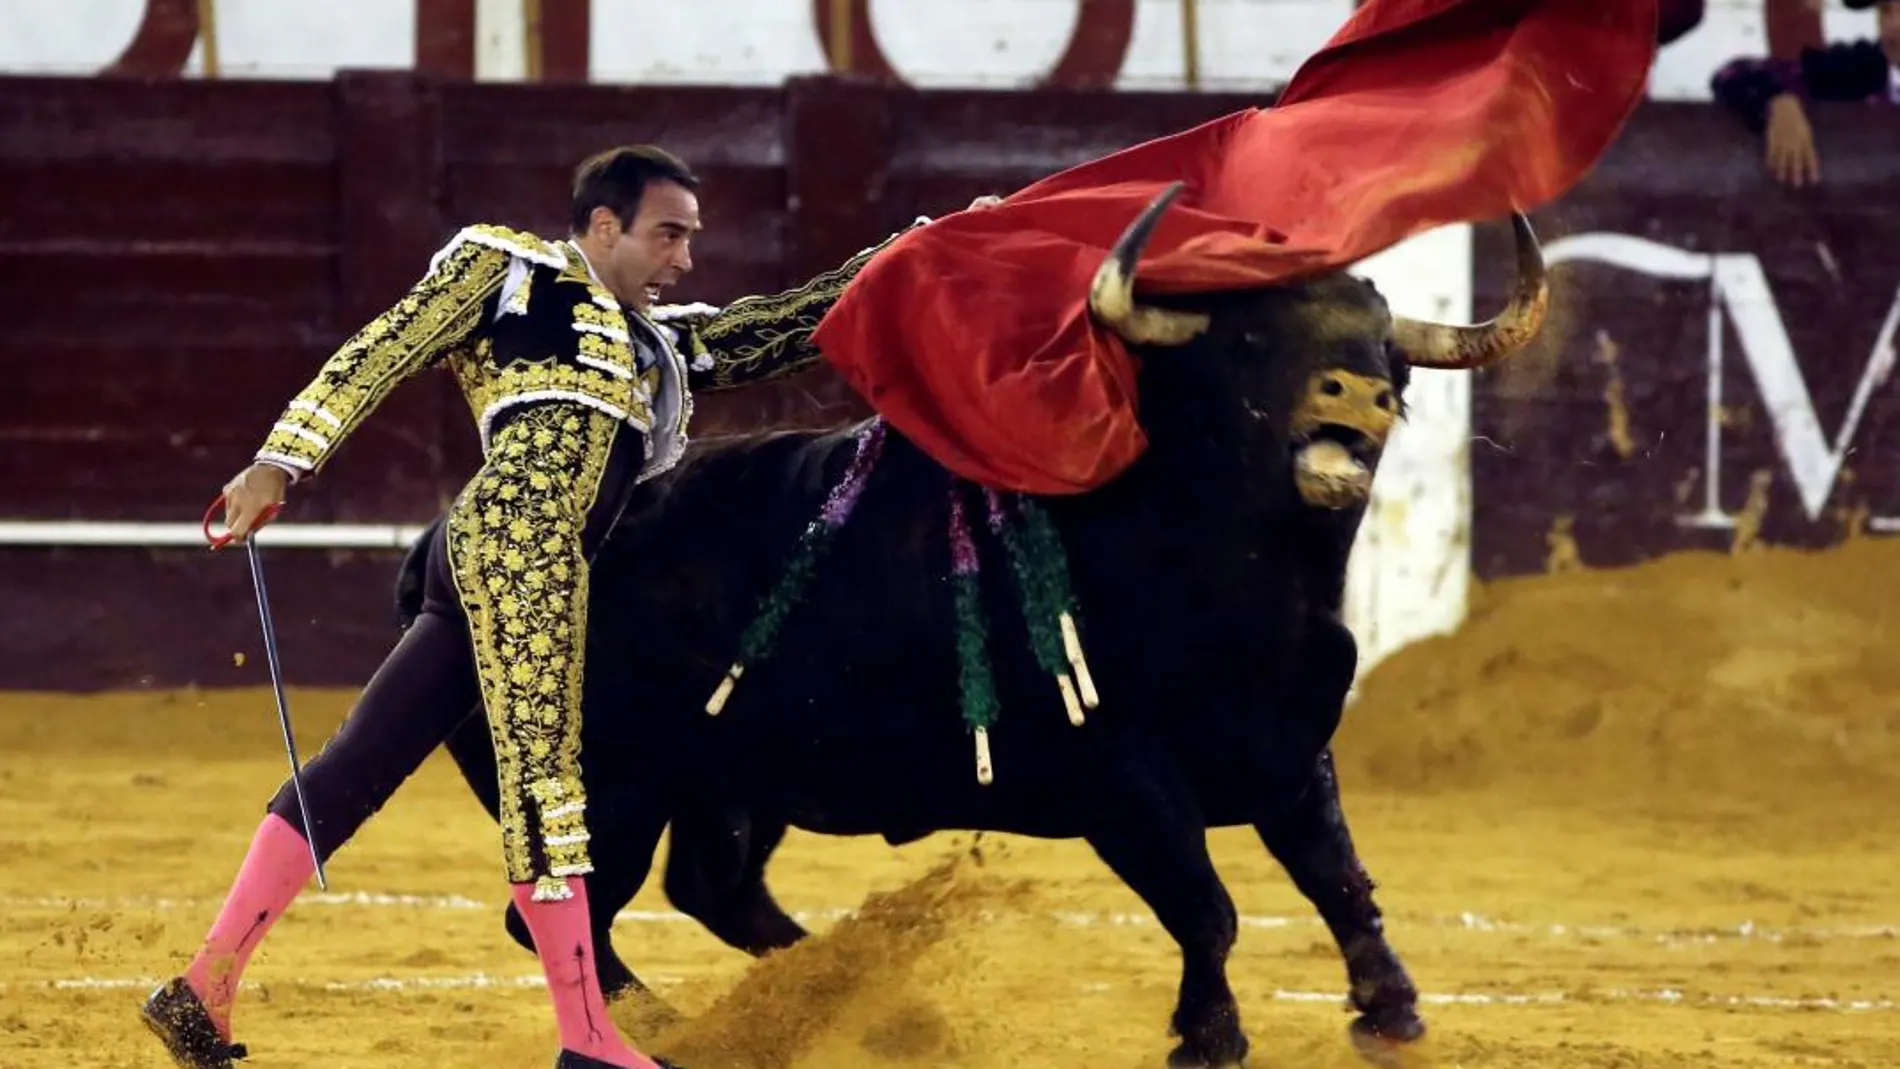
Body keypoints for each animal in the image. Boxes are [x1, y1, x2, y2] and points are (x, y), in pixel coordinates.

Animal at [397, 187, 1542, 1063]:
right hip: (612, 785)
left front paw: (1390, 1012)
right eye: (1251, 338)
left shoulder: (1293, 753)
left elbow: (1339, 879)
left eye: (1386, 346)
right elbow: (1205, 903)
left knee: (713, 886)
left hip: (728, 784)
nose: (1356, 396)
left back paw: (845, 995)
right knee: (566, 911)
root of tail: (435, 545)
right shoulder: (1122, 777)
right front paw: (1207, 1036)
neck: (1230, 578)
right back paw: (689, 1023)